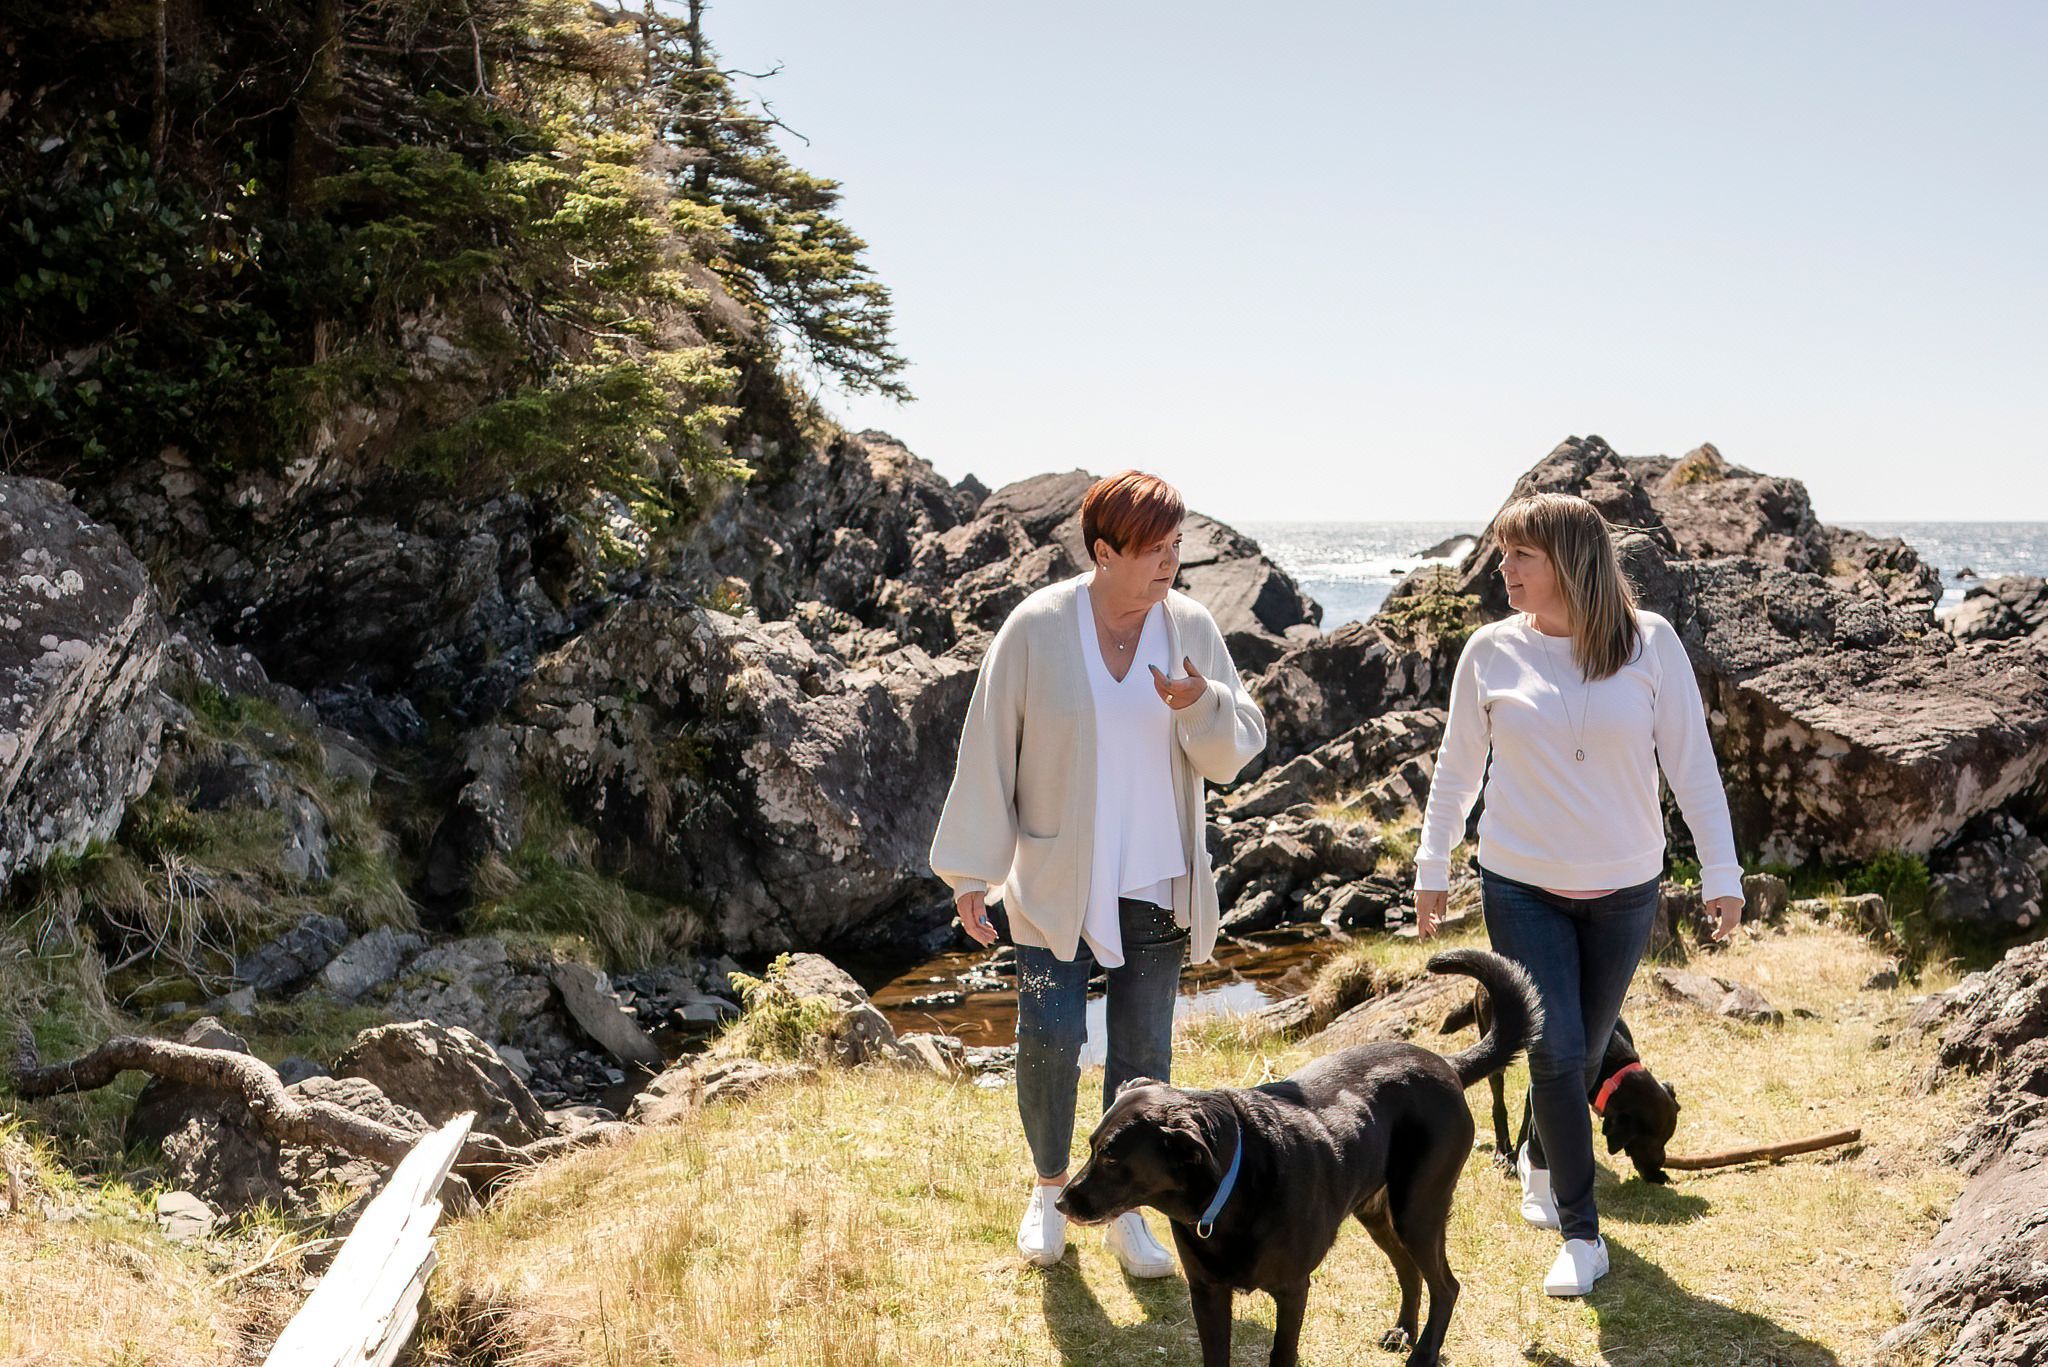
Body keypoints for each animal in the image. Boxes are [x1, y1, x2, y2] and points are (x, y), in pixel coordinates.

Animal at [1056, 946, 1540, 1367]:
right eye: (1091, 1147)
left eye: (1112, 1158)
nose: (1060, 1202)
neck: (1228, 1196)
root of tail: (1445, 1064)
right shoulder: (1206, 1292)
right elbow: (1215, 1355)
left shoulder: (1292, 1290)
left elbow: (1281, 1354)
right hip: (1377, 1211)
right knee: (1409, 1271)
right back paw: (1402, 1331)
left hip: (1418, 1209)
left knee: (1447, 1285)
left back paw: (1422, 1353)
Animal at [1441, 987, 1679, 1180]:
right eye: (1652, 1141)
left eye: (1666, 1140)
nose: (1659, 1169)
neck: (1613, 1064)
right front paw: (1518, 1161)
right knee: (1498, 1103)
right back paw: (1502, 1151)